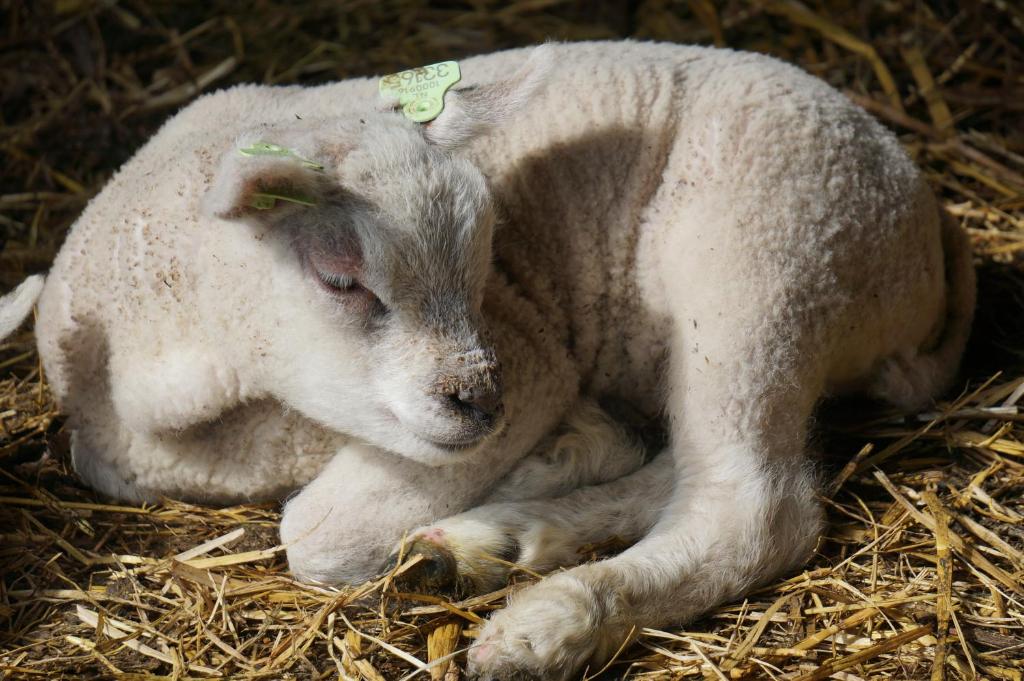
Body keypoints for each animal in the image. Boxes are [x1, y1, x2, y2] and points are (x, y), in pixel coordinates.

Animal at [2, 42, 974, 679]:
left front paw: (551, 454)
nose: (479, 400)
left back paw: (551, 619)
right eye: (340, 276)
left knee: (756, 505)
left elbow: (313, 534)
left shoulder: (530, 354)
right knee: (698, 468)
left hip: (763, 259)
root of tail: (926, 236)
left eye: (481, 257)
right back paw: (502, 539)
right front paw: (563, 456)